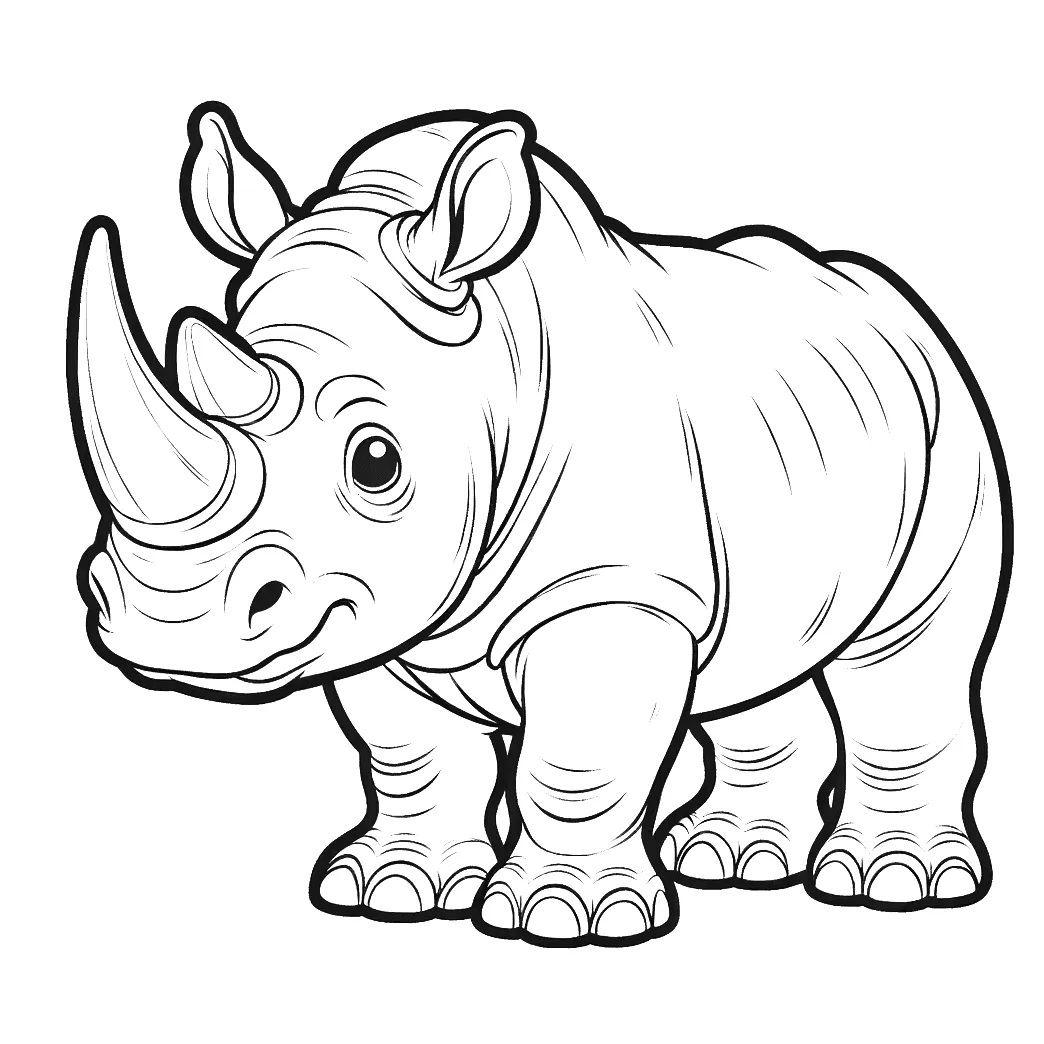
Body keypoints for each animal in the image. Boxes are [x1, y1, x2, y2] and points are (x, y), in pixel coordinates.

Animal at [68, 104, 1011, 946]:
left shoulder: (610, 592)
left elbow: (578, 761)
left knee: (907, 656)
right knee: (760, 658)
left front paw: (561, 919)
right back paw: (727, 860)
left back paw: (894, 885)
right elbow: (411, 754)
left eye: (376, 461)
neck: (493, 368)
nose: (170, 628)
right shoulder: (377, 611)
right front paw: (390, 890)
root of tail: (892, 298)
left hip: (949, 420)